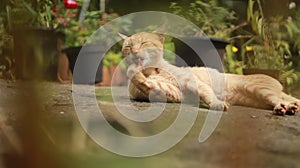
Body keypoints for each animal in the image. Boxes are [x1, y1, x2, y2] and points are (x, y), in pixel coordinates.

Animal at [118, 31, 298, 115]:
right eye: (128, 46)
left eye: (144, 43)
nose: (134, 52)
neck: (151, 70)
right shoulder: (170, 92)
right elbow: (145, 82)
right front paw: (133, 71)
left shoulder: (192, 82)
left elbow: (206, 92)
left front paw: (216, 103)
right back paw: (290, 107)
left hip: (261, 90)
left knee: (279, 100)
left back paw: (286, 108)